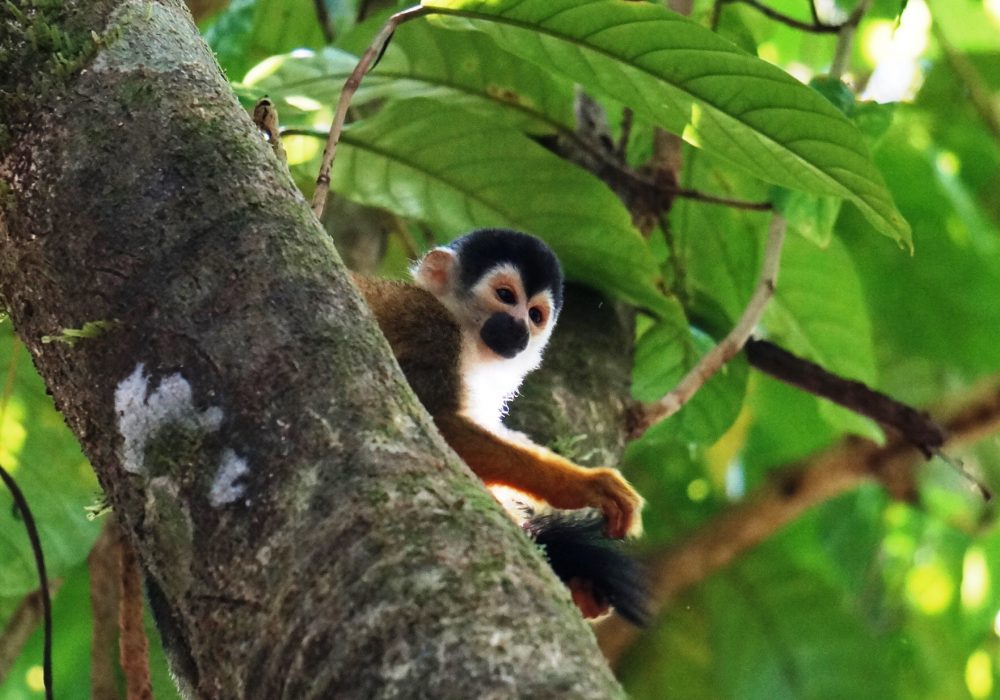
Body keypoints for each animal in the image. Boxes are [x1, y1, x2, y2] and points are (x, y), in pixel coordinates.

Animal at [356, 227, 644, 620]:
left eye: (536, 314)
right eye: (505, 296)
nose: (520, 327)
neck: (464, 331)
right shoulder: (429, 326)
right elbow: (433, 419)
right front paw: (583, 486)